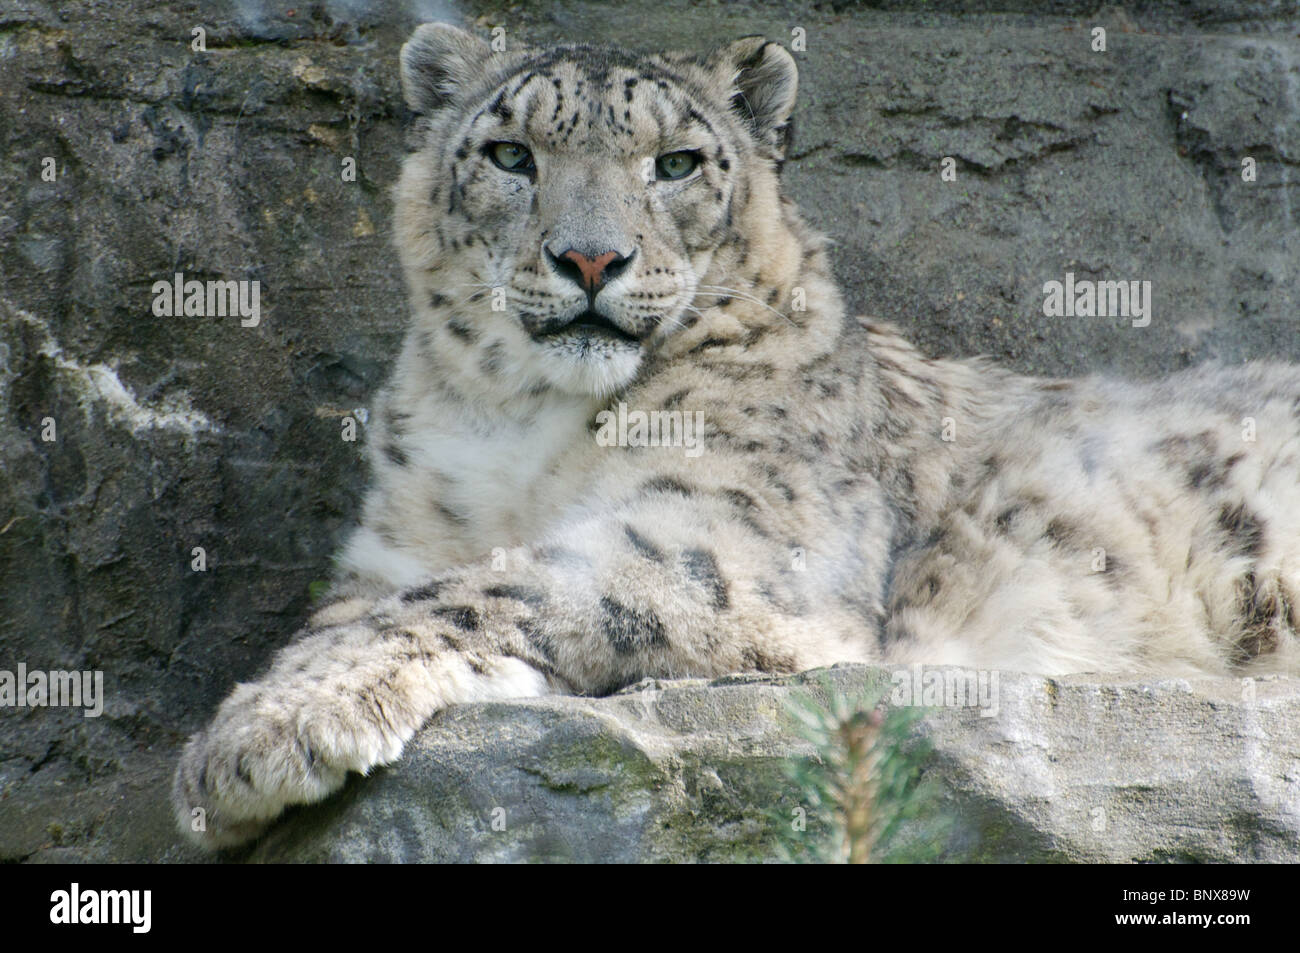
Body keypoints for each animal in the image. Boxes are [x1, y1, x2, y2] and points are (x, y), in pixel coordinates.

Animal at [173, 22, 1300, 849]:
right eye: (508, 155)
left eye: (675, 162)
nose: (592, 258)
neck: (524, 423)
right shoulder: (392, 544)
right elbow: (364, 607)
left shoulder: (731, 537)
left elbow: (497, 585)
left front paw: (257, 735)